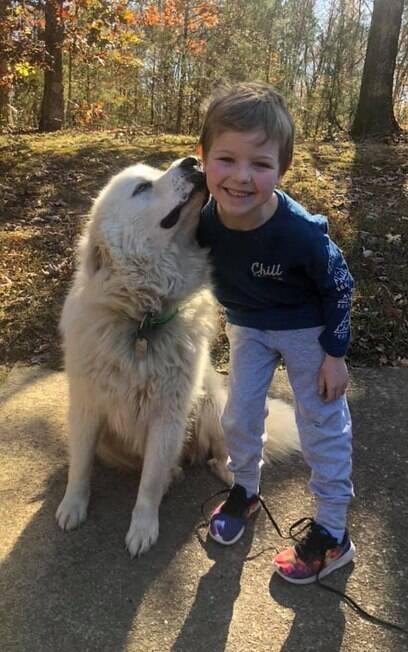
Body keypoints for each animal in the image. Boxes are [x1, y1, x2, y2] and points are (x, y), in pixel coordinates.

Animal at [56, 158, 300, 556]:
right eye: (142, 187)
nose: (191, 161)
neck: (142, 318)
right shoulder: (87, 407)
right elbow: (80, 465)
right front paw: (73, 506)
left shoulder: (169, 414)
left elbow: (149, 481)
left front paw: (142, 527)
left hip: (212, 404)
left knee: (222, 448)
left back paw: (228, 473)